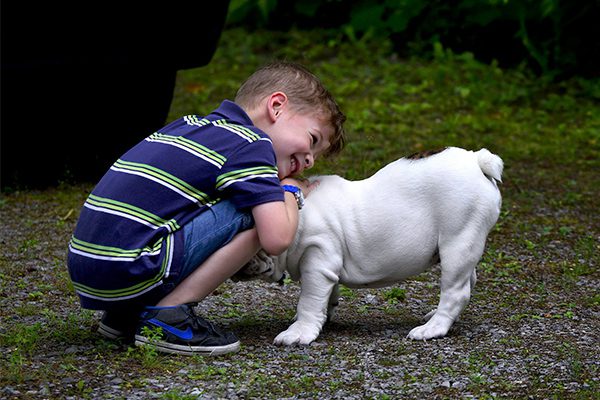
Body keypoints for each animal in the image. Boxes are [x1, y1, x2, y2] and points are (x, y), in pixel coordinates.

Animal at [237, 148, 504, 346]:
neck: (294, 212)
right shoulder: (326, 268)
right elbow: (327, 295)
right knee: (468, 280)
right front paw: (325, 315)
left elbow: (309, 300)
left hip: (458, 240)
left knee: (455, 290)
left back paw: (432, 328)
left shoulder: (317, 261)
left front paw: (299, 331)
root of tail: (477, 160)